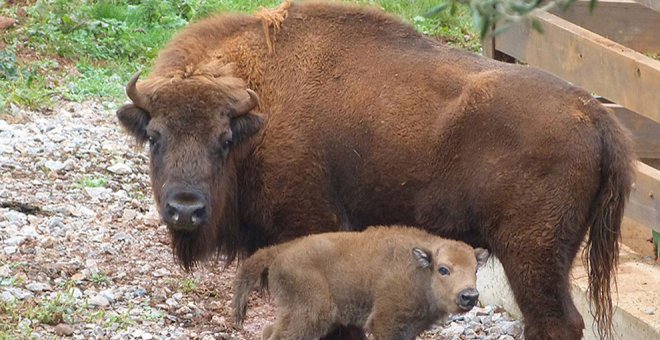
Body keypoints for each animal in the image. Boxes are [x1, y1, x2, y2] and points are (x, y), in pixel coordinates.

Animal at [233, 226, 490, 340]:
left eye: (476, 269)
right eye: (443, 269)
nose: (469, 295)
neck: (418, 272)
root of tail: (280, 251)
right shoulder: (385, 323)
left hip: (292, 312)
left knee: (270, 330)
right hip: (313, 313)